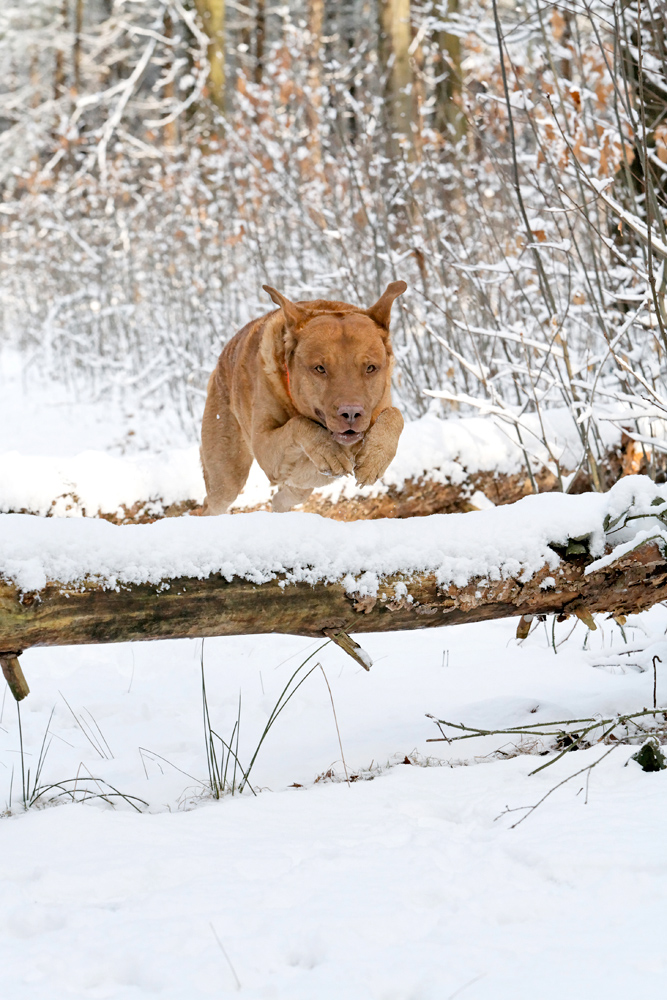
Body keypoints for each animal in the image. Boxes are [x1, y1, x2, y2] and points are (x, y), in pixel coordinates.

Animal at [200, 282, 408, 516]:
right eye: (320, 368)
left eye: (370, 368)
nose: (351, 413)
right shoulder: (264, 447)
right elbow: (298, 424)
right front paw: (328, 450)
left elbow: (395, 415)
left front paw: (374, 459)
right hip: (226, 473)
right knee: (213, 502)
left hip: (296, 487)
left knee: (284, 497)